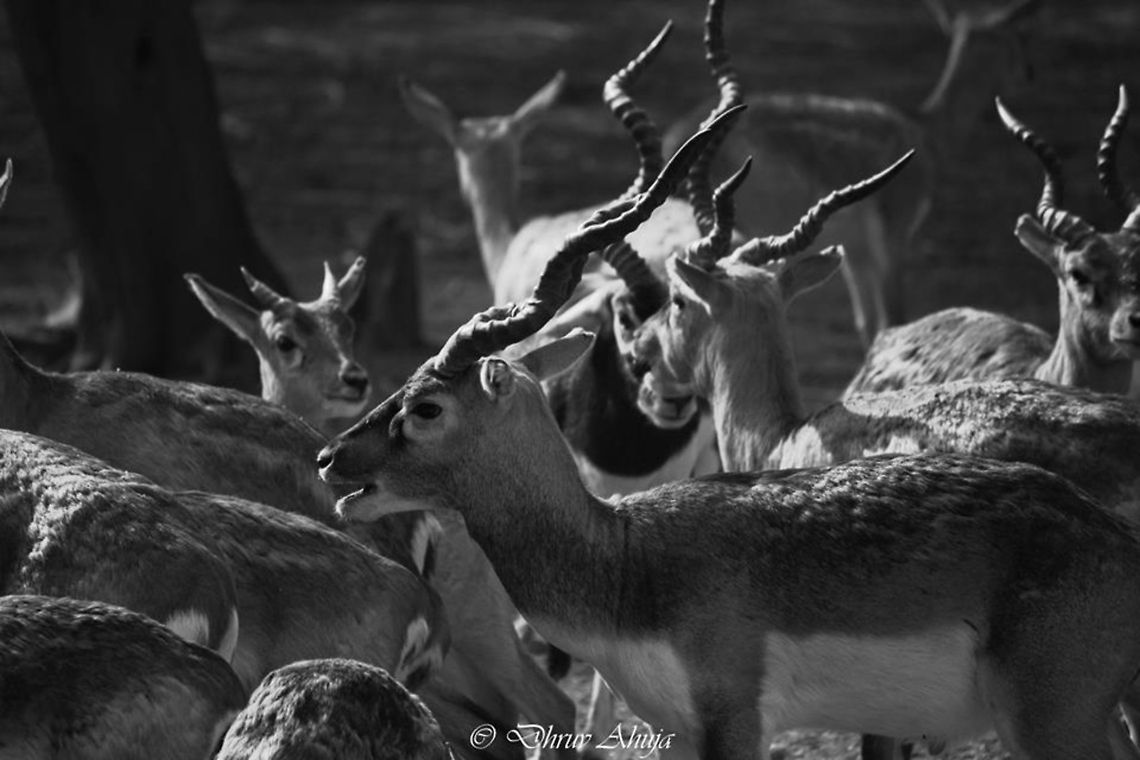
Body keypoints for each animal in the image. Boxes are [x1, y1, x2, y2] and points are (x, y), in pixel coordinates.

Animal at [316, 141, 1140, 760]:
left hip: (1052, 722)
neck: (628, 560)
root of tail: (1110, 534)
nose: (331, 459)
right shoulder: (678, 732)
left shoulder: (734, 721)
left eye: (426, 406)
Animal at [665, 0, 1039, 346]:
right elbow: (894, 317)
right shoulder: (892, 241)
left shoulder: (855, 254)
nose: (1029, 74)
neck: (926, 131)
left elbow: (868, 324)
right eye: (1019, 37)